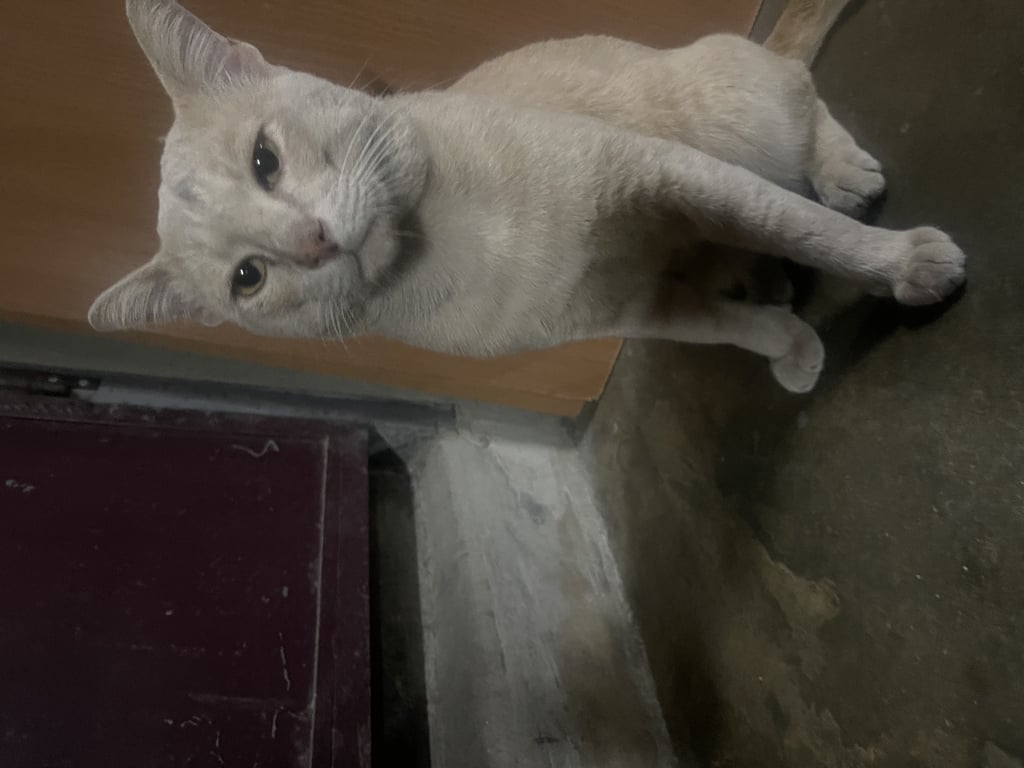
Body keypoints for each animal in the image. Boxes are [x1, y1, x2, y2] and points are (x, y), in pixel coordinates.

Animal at [88, 0, 967, 394]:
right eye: (248, 279)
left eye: (265, 160)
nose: (313, 241)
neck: (449, 244)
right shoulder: (637, 309)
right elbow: (734, 332)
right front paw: (788, 346)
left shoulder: (668, 173)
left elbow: (804, 226)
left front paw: (903, 264)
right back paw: (767, 282)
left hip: (733, 115)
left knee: (797, 99)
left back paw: (842, 173)